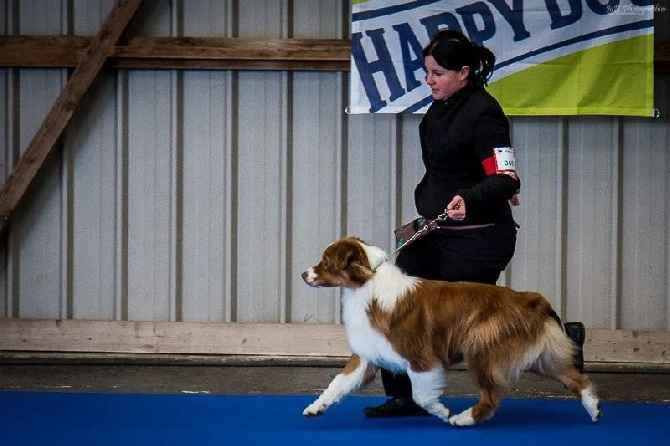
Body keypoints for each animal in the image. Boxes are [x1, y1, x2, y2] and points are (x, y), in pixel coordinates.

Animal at [300, 237, 604, 426]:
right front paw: (315, 408)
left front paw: (443, 411)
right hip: (540, 356)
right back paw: (594, 410)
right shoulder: (366, 355)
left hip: (481, 346)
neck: (366, 284)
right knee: (575, 378)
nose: (303, 274)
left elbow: (422, 395)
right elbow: (338, 383)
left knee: (491, 397)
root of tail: (533, 299)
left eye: (325, 262)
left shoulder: (420, 357)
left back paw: (463, 419)